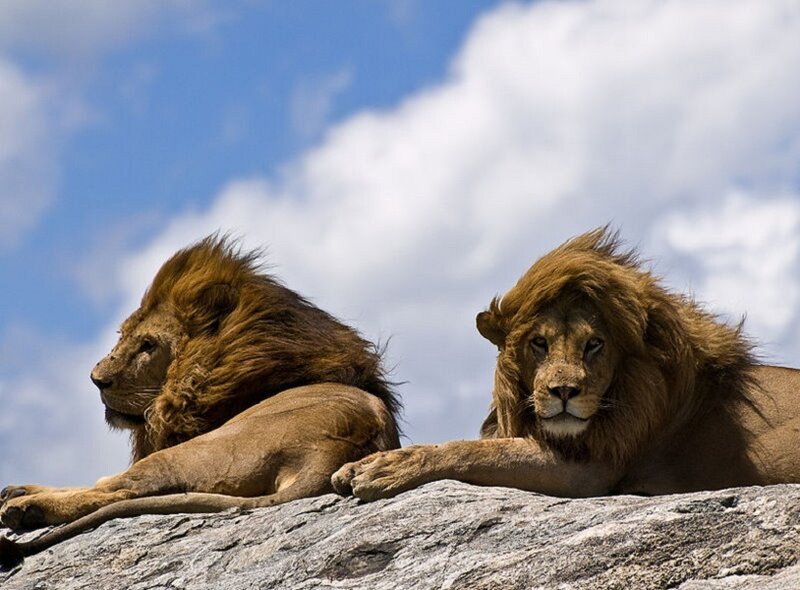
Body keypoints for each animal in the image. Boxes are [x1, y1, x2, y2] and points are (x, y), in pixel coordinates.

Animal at [0, 236, 400, 566]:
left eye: (148, 345)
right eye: (122, 336)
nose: (97, 380)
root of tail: (327, 456)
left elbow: (107, 483)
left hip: (195, 451)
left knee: (118, 488)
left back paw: (24, 507)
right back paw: (19, 492)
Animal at [332, 227, 800, 501]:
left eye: (594, 344)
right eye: (539, 343)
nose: (563, 392)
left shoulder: (591, 469)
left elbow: (473, 450)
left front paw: (385, 468)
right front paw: (358, 465)